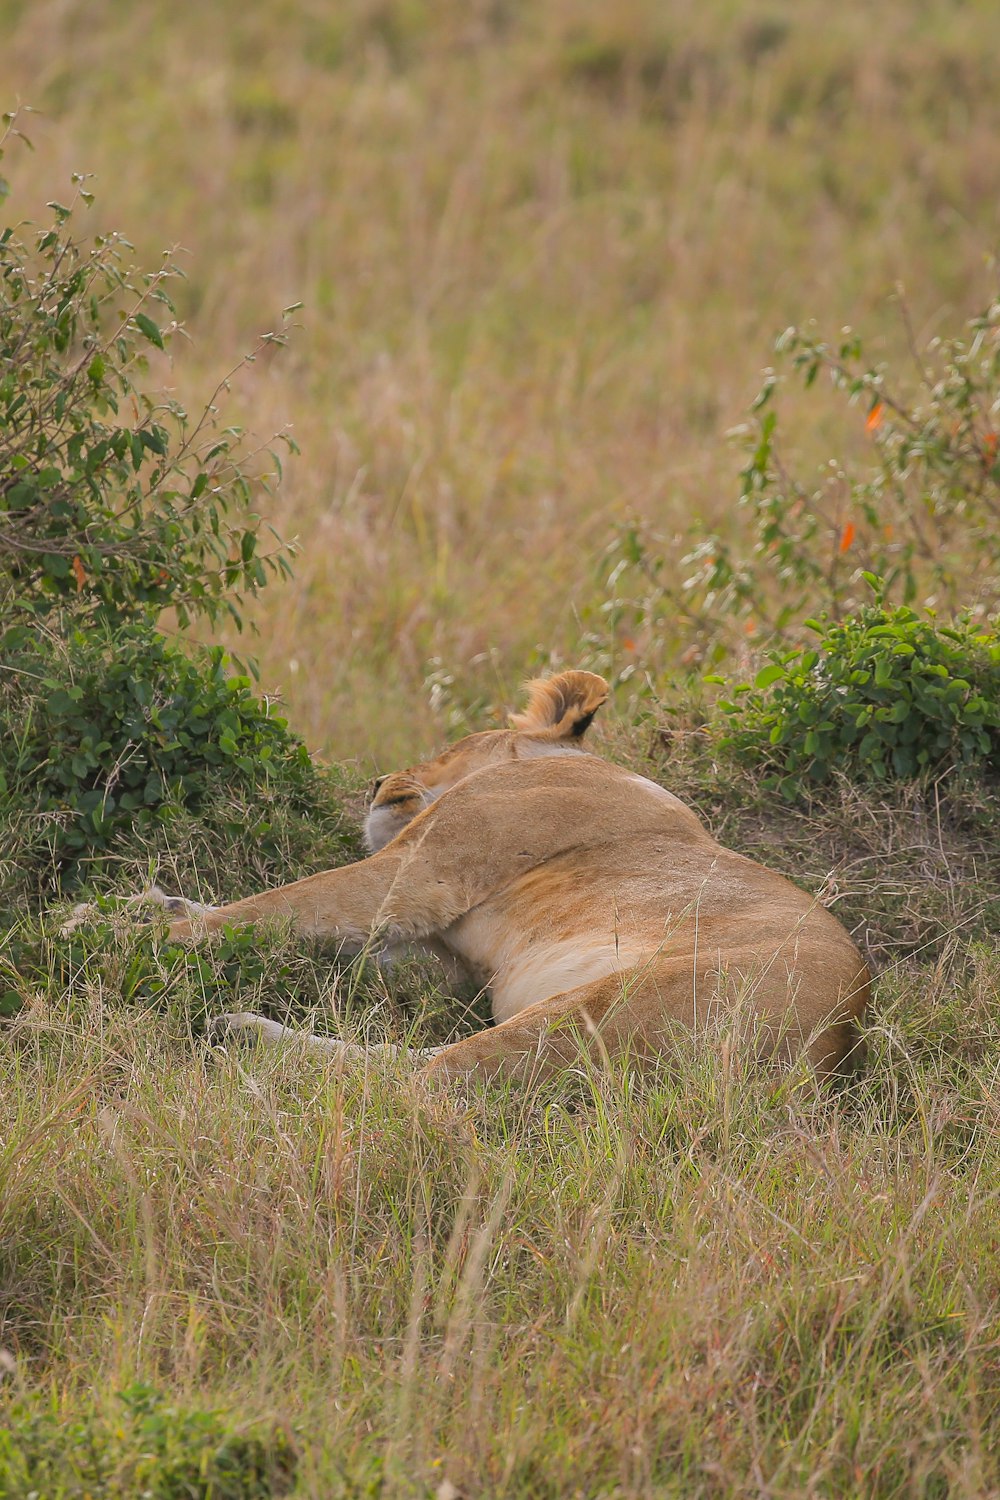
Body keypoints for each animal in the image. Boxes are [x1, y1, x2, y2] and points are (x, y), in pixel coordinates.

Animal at [160, 675, 869, 1086]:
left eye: (448, 745)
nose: (376, 783)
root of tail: (836, 1054)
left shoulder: (421, 874)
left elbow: (271, 906)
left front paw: (142, 936)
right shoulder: (446, 954)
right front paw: (161, 900)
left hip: (598, 1011)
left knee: (430, 1083)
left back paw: (243, 1045)